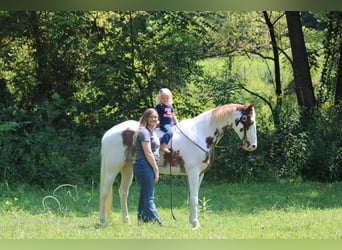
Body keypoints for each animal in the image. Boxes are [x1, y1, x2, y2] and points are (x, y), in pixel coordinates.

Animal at [99, 102, 256, 229]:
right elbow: (194, 198)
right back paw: (103, 221)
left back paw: (127, 221)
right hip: (112, 168)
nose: (252, 145)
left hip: (128, 168)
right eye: (245, 119)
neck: (201, 133)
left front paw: (192, 221)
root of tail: (108, 134)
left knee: (123, 192)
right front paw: (195, 223)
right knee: (105, 192)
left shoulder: (200, 174)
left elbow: (193, 197)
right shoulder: (193, 173)